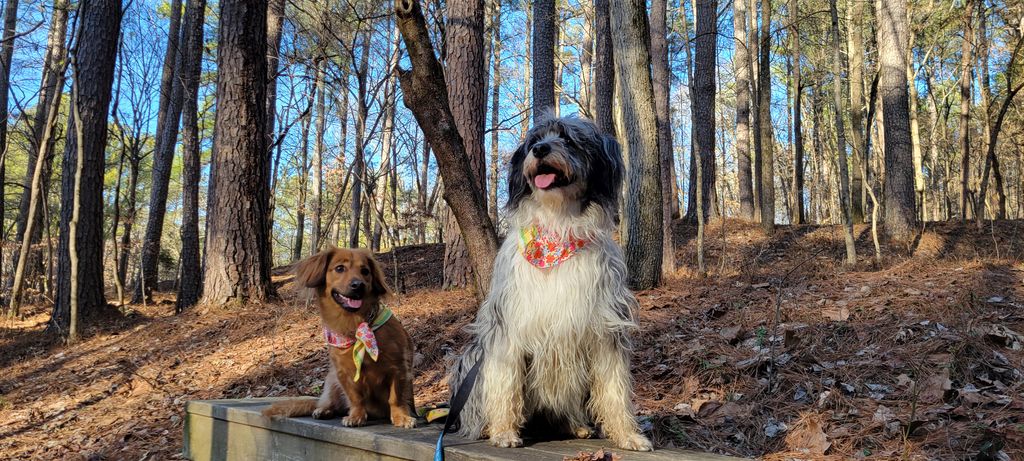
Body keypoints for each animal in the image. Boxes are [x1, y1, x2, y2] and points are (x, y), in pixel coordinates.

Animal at [262, 248, 417, 428]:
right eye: (340, 268)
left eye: (365, 271)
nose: (358, 285)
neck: (354, 325)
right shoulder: (344, 373)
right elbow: (356, 398)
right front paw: (356, 416)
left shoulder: (398, 368)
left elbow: (395, 398)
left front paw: (401, 417)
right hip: (332, 381)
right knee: (330, 404)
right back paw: (323, 410)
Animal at [450, 115, 655, 450]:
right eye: (534, 140)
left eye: (569, 139)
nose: (540, 149)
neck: (558, 228)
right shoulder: (507, 328)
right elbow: (505, 383)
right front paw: (504, 431)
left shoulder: (605, 328)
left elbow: (615, 388)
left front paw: (627, 434)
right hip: (471, 359)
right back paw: (487, 427)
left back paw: (574, 426)